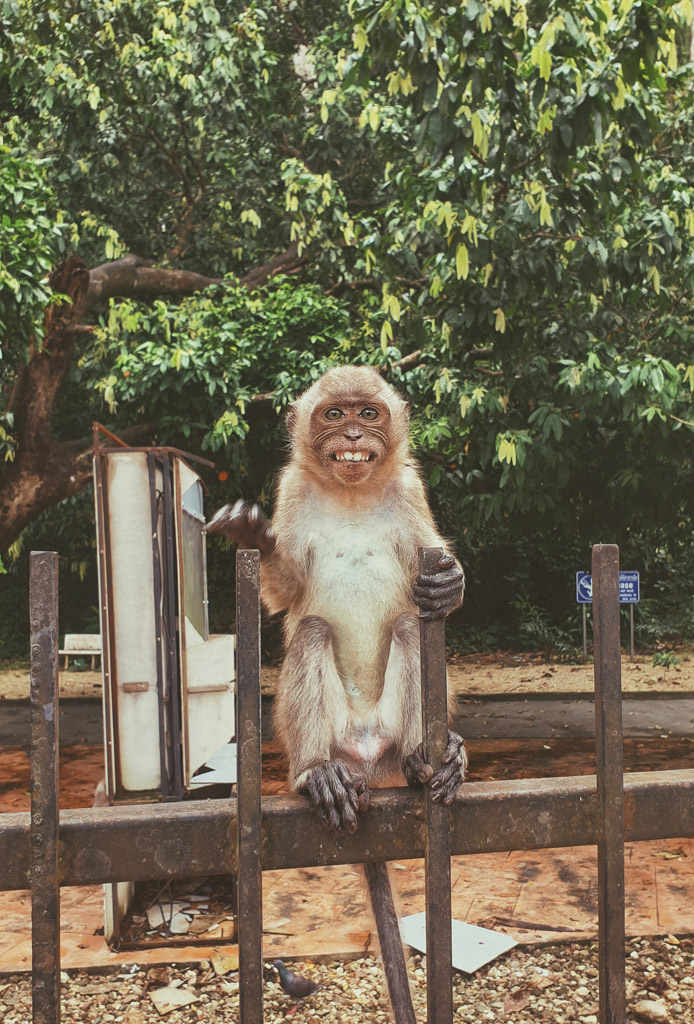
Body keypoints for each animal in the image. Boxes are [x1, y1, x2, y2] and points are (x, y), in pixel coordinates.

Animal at [207, 368, 466, 1024]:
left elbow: (429, 584)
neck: (352, 492)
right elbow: (287, 591)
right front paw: (251, 534)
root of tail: (366, 760)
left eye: (368, 413)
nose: (352, 435)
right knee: (315, 631)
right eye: (335, 414)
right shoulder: (293, 489)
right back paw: (316, 774)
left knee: (409, 626)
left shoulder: (408, 487)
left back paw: (428, 759)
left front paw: (449, 584)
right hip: (335, 730)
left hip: (388, 729)